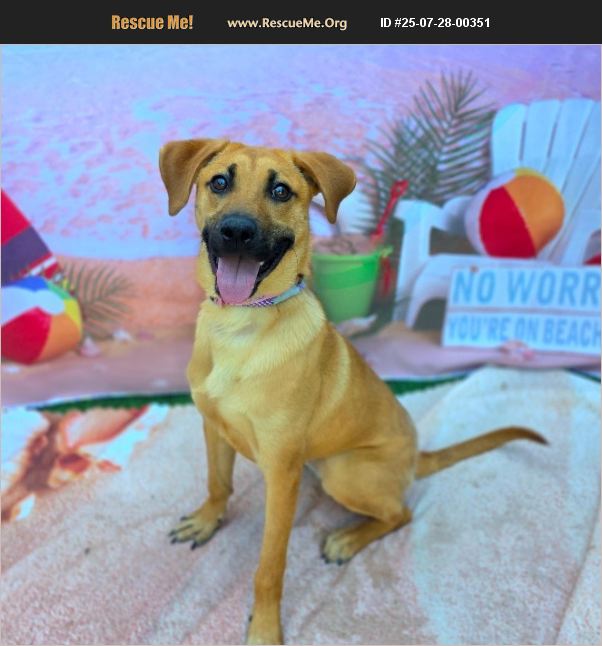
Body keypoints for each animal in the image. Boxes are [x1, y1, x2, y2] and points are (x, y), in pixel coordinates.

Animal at [159, 139, 546, 645]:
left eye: (281, 191)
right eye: (219, 182)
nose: (237, 231)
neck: (241, 328)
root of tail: (416, 456)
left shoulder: (281, 473)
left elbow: (269, 565)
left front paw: (264, 627)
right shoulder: (213, 426)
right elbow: (217, 483)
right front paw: (207, 521)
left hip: (344, 472)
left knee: (401, 514)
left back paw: (347, 539)